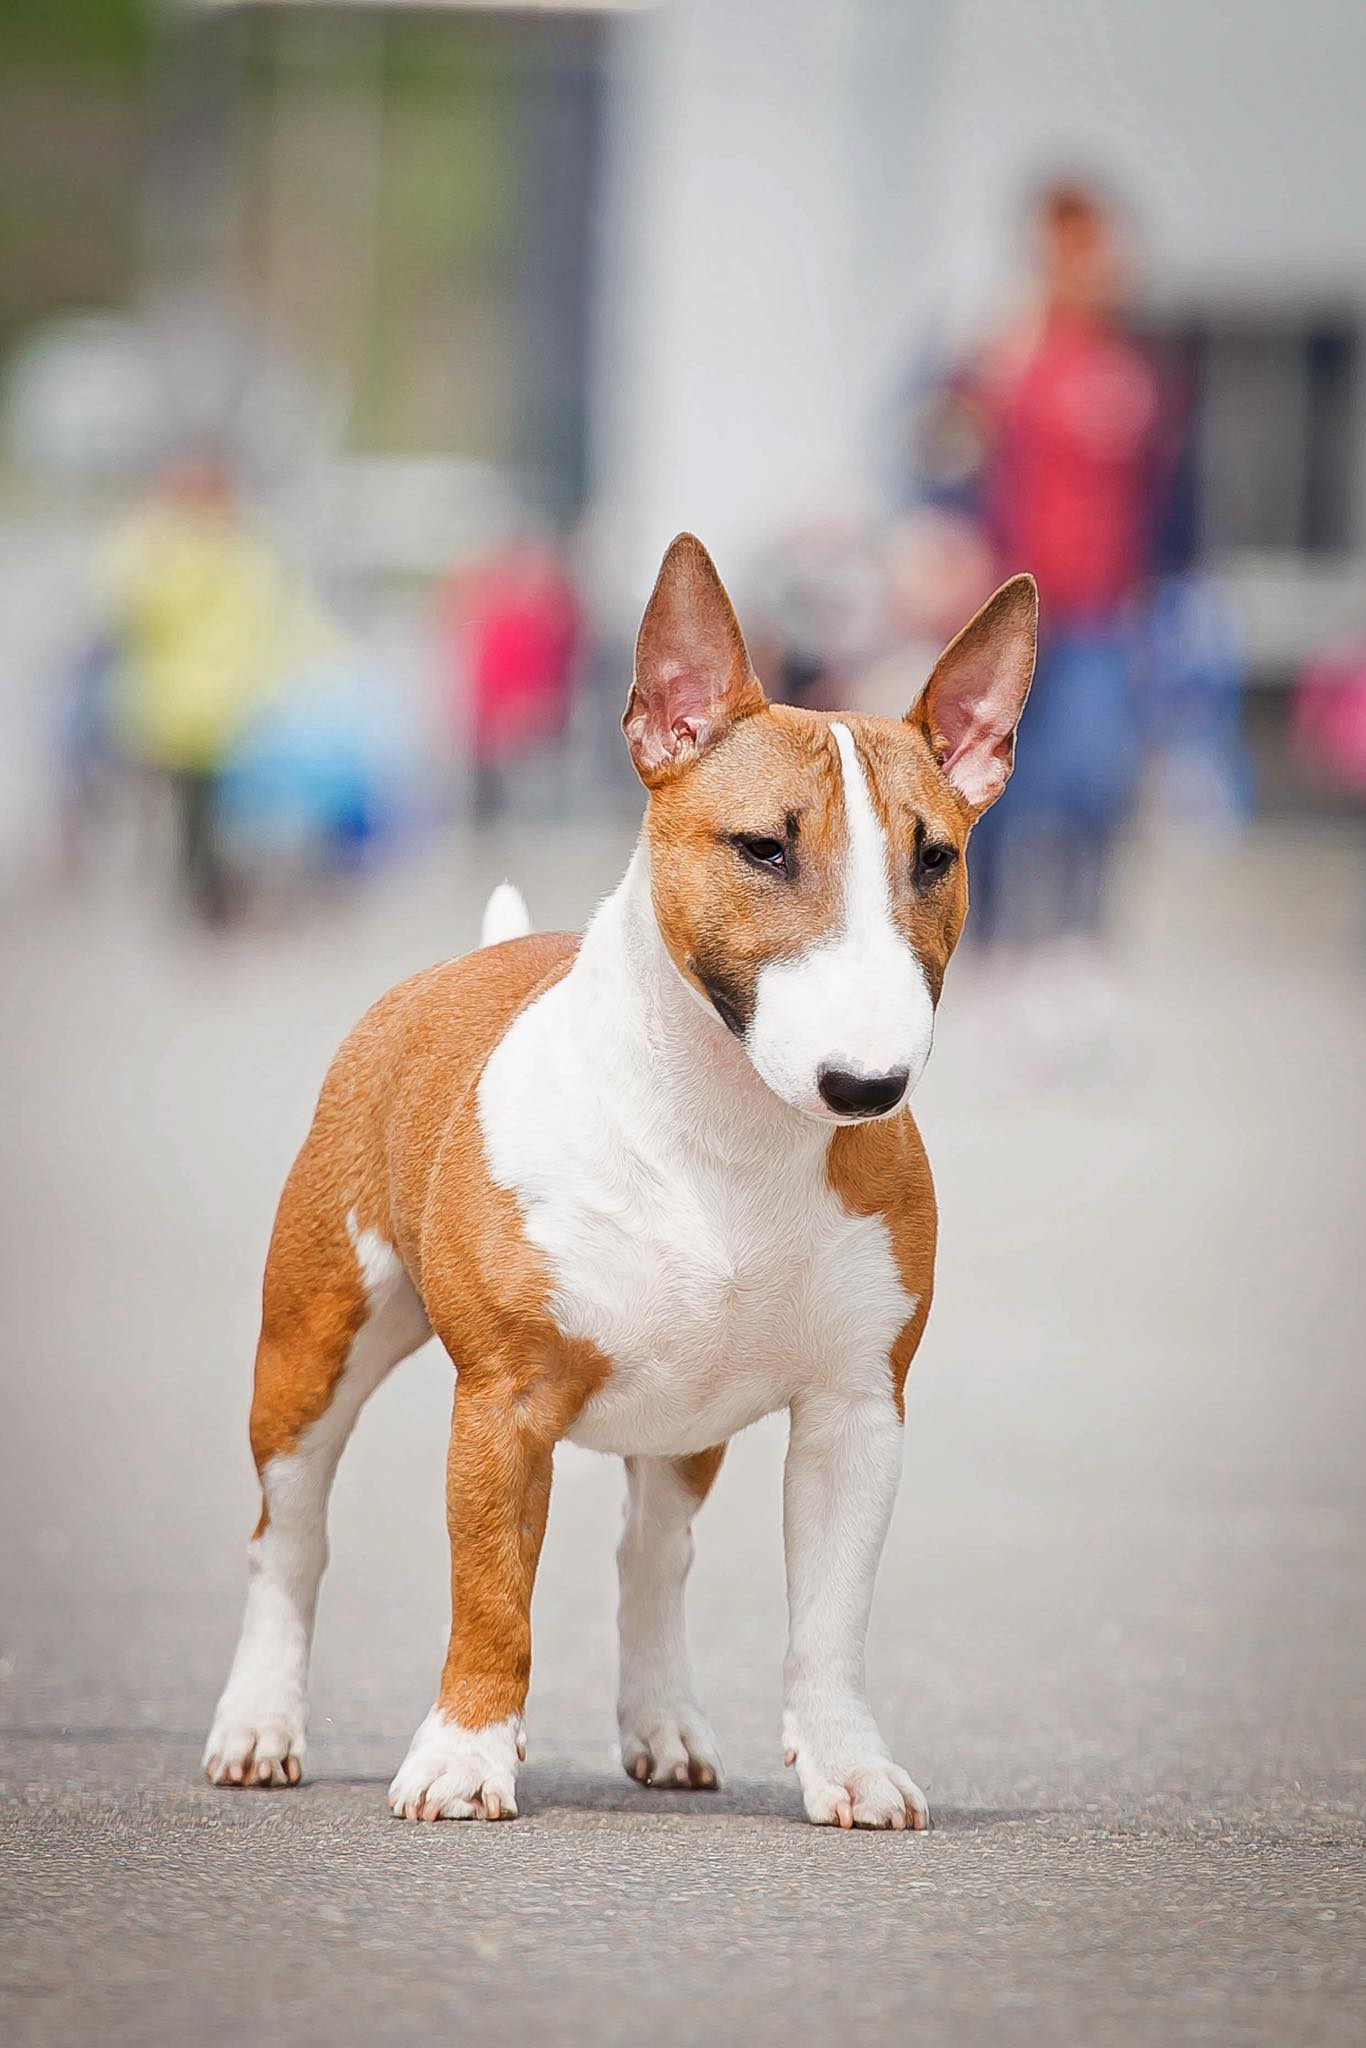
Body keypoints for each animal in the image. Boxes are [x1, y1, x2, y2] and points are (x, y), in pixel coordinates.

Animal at [202, 536, 1036, 1835]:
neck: (728, 1130)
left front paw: (848, 1763)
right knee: (287, 1530)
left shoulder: (856, 1409)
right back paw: (257, 1724)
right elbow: (491, 1593)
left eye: (934, 857)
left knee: (653, 1554)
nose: (866, 1086)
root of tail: (462, 962)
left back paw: (664, 1724)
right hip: (311, 1341)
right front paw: (463, 1757)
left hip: (684, 1424)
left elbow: (829, 1618)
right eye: (763, 846)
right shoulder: (502, 1398)